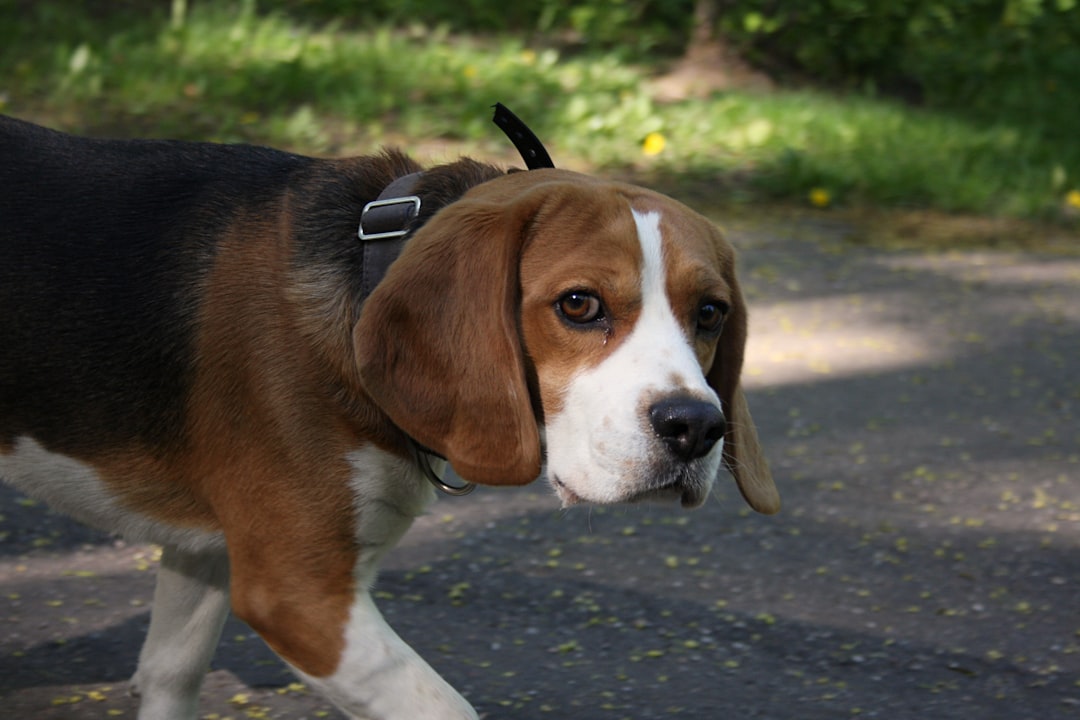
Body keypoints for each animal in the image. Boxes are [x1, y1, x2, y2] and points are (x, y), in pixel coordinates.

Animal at [0, 115, 777, 716]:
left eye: (711, 313)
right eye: (579, 304)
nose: (695, 428)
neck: (369, 267)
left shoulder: (209, 553)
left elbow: (169, 673)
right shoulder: (299, 594)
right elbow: (446, 707)